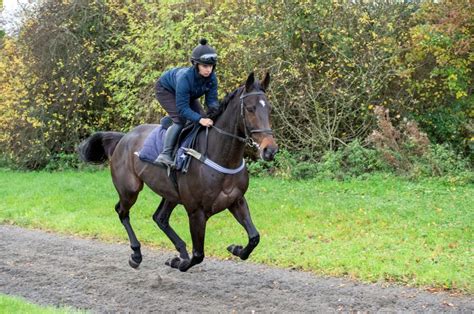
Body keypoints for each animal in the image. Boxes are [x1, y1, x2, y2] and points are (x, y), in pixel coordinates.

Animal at [78, 72, 278, 272]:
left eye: (269, 109)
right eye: (250, 109)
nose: (270, 150)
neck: (220, 156)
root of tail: (123, 138)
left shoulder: (236, 200)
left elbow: (254, 237)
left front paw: (236, 249)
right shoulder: (196, 211)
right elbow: (198, 255)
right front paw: (178, 262)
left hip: (171, 193)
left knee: (160, 218)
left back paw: (180, 250)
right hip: (130, 189)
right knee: (122, 212)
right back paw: (136, 254)